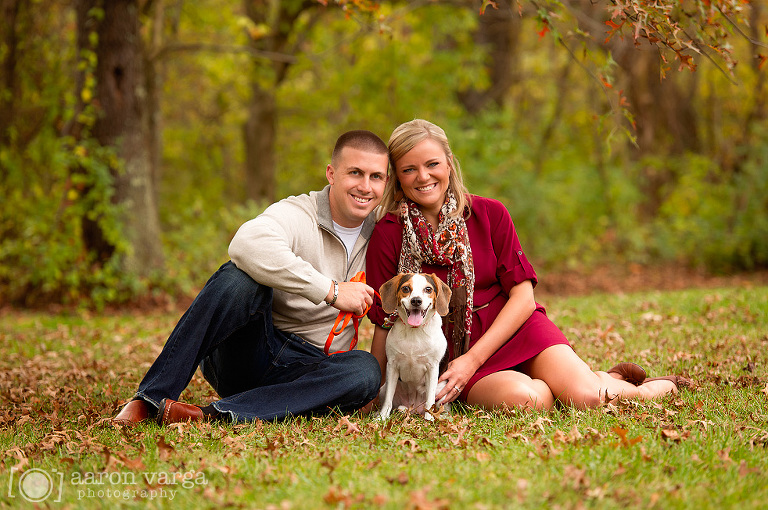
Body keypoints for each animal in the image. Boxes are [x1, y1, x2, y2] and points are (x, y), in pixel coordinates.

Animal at [376, 272, 450, 420]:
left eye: (428, 289)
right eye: (405, 288)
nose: (416, 300)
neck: (414, 330)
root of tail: (414, 408)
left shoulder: (432, 368)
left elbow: (430, 400)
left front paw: (429, 419)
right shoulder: (392, 366)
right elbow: (388, 400)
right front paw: (382, 417)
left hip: (443, 392)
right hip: (383, 388)